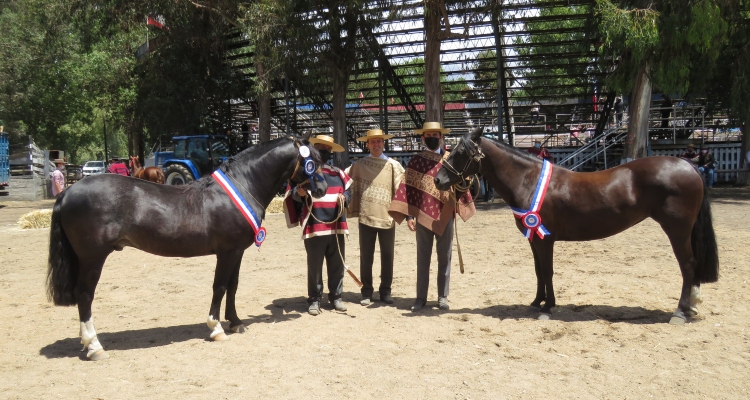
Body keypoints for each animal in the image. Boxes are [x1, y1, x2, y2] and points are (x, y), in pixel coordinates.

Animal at [47, 137, 328, 360]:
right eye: (312, 160)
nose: (323, 188)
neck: (242, 186)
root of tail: (67, 193)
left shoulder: (237, 251)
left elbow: (233, 286)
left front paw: (236, 322)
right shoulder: (227, 252)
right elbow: (220, 287)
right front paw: (216, 328)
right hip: (92, 258)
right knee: (84, 295)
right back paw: (94, 346)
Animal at [438, 128, 720, 324]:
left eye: (460, 153)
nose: (439, 180)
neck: (528, 180)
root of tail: (688, 165)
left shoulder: (545, 239)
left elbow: (548, 271)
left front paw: (548, 307)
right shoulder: (534, 238)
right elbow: (538, 271)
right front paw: (537, 301)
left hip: (677, 230)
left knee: (688, 265)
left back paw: (680, 312)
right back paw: (691, 306)